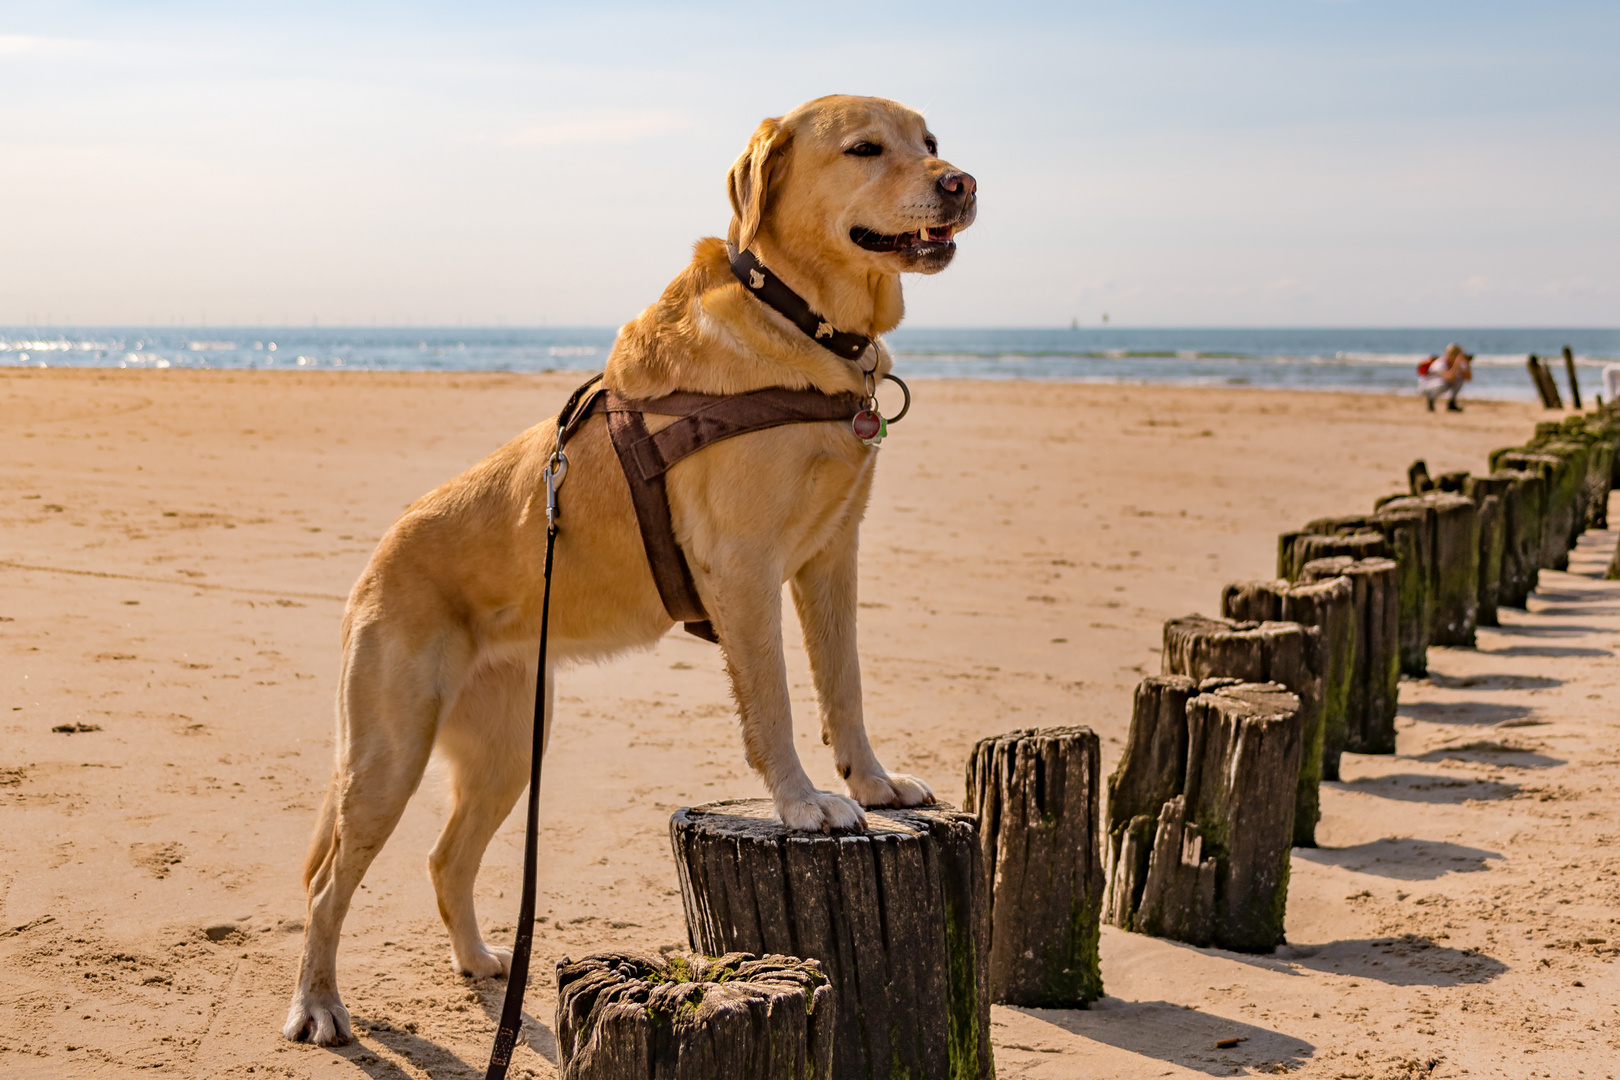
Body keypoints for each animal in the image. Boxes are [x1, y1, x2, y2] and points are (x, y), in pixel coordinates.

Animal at [281, 95, 972, 1049]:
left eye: (930, 143)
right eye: (866, 150)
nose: (962, 183)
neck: (803, 321)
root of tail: (376, 560)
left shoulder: (833, 557)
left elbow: (845, 686)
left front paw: (873, 784)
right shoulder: (743, 570)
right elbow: (777, 705)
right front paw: (804, 806)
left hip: (509, 750)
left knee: (444, 858)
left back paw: (482, 963)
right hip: (388, 755)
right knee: (326, 884)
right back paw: (318, 1003)